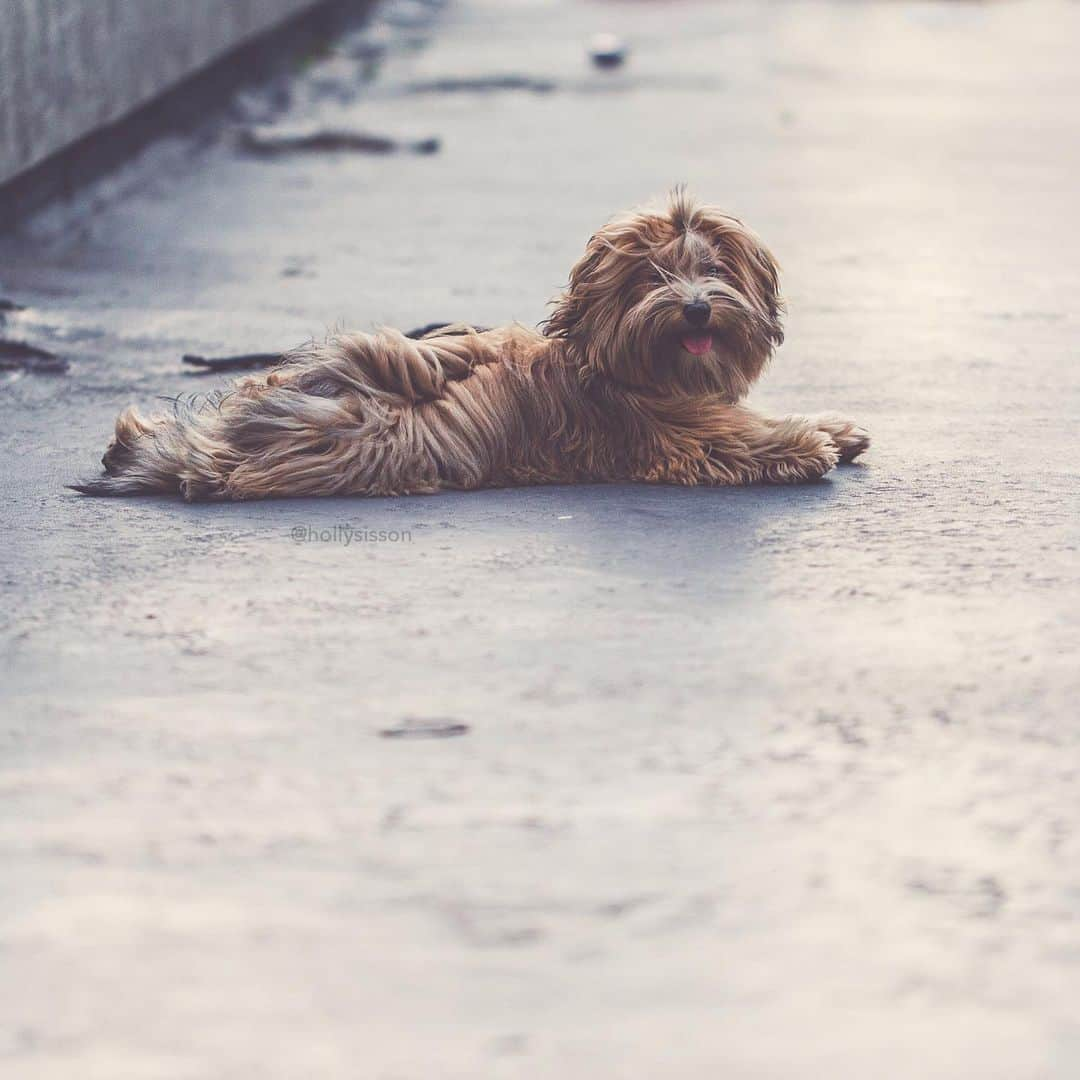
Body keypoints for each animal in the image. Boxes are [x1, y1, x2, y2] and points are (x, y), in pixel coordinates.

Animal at [73, 191, 868, 501]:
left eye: (715, 270)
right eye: (652, 276)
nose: (698, 308)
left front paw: (836, 427)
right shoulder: (672, 437)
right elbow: (743, 438)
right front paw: (808, 444)